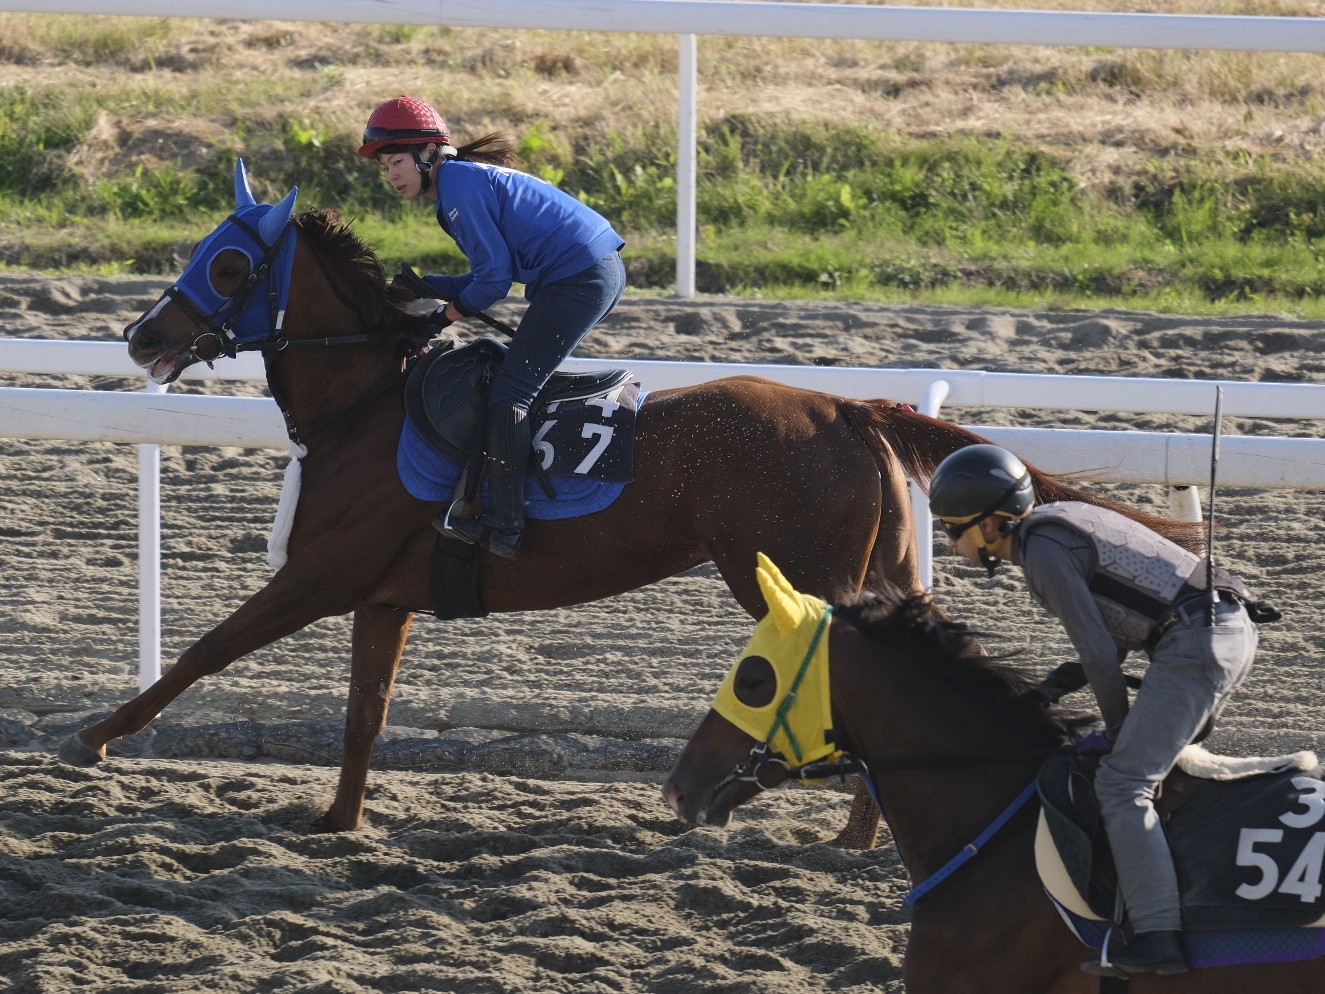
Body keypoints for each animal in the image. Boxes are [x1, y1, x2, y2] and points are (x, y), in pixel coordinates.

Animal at [59, 165, 1203, 842]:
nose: (142, 336)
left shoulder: (321, 573)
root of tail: (844, 405)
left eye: (229, 261)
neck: (371, 404)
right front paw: (339, 821)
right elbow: (361, 713)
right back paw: (860, 836)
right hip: (874, 569)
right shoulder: (381, 595)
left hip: (790, 574)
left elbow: (205, 649)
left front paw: (93, 737)